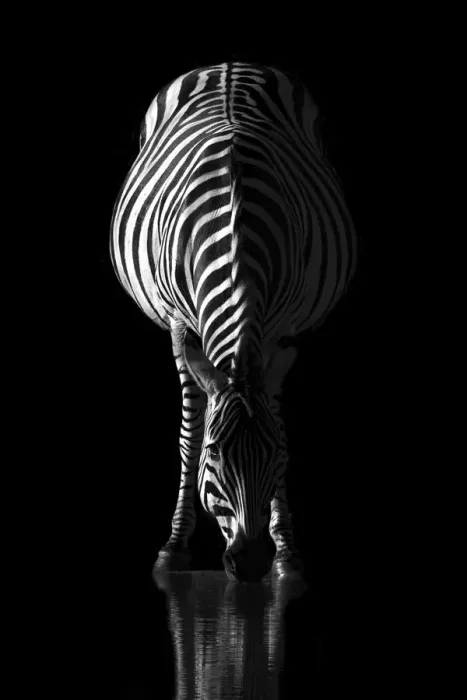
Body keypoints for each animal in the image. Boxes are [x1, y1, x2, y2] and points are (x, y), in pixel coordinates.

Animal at [110, 62, 357, 581]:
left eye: (276, 456)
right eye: (215, 454)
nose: (249, 563)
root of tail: (231, 64)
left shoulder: (280, 331)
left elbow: (278, 421)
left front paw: (287, 553)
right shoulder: (181, 326)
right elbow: (187, 436)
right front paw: (174, 549)